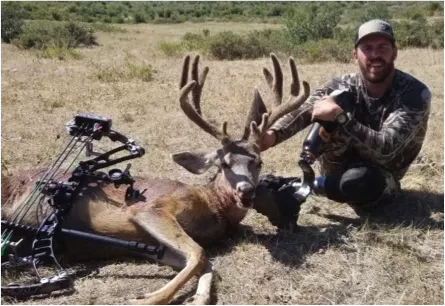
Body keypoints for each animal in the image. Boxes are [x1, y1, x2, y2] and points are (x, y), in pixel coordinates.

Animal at [0, 53, 308, 304]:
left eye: (258, 161)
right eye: (224, 163)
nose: (246, 191)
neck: (213, 207)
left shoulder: (151, 244)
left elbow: (203, 261)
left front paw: (196, 298)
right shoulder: (150, 210)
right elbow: (199, 254)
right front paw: (145, 299)